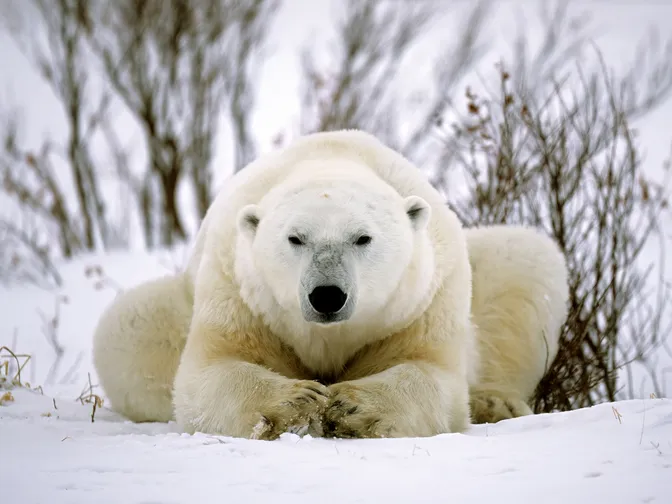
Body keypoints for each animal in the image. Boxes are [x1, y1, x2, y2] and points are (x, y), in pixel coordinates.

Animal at [92, 129, 569, 439]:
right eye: (295, 238)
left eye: (362, 238)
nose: (326, 295)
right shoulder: (239, 290)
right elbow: (210, 373)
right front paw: (299, 400)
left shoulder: (421, 300)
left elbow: (431, 375)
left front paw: (349, 406)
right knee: (129, 325)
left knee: (524, 265)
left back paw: (496, 402)